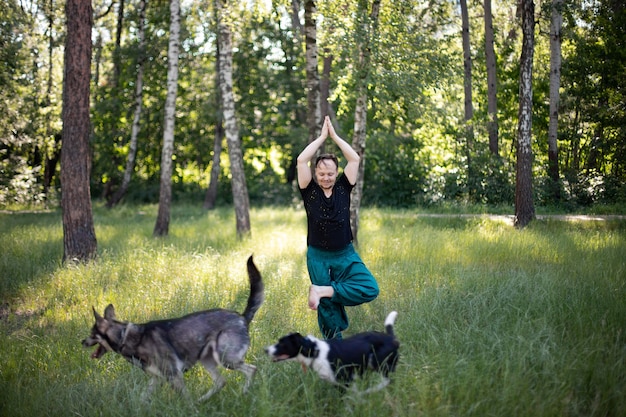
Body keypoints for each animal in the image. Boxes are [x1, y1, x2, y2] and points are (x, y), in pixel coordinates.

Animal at [266, 310, 398, 392]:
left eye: (282, 344)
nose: (265, 350)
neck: (315, 351)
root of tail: (391, 338)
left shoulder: (345, 379)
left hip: (379, 363)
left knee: (387, 380)